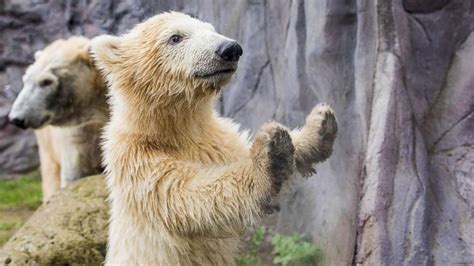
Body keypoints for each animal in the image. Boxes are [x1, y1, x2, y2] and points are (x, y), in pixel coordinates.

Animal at [90, 11, 336, 266]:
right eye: (175, 37)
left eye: (210, 29)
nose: (230, 49)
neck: (172, 132)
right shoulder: (139, 166)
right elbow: (190, 196)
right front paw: (272, 156)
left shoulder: (217, 139)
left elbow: (240, 152)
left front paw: (318, 125)